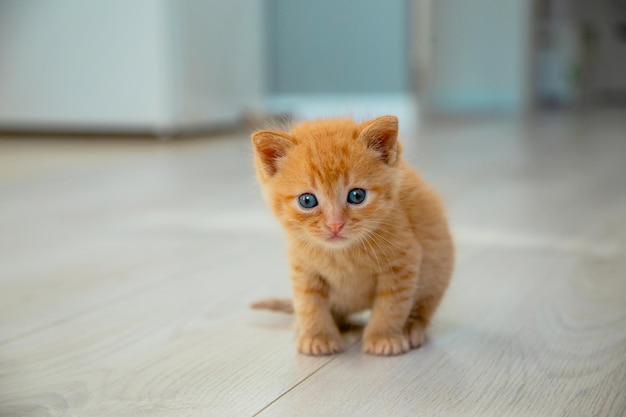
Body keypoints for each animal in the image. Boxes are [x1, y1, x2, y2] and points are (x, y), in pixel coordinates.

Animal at [250, 115, 454, 356]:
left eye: (357, 196)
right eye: (307, 200)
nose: (335, 225)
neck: (343, 254)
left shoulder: (404, 262)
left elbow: (391, 305)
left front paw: (383, 336)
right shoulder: (303, 268)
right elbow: (309, 303)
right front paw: (318, 336)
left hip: (436, 273)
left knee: (423, 307)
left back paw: (412, 327)